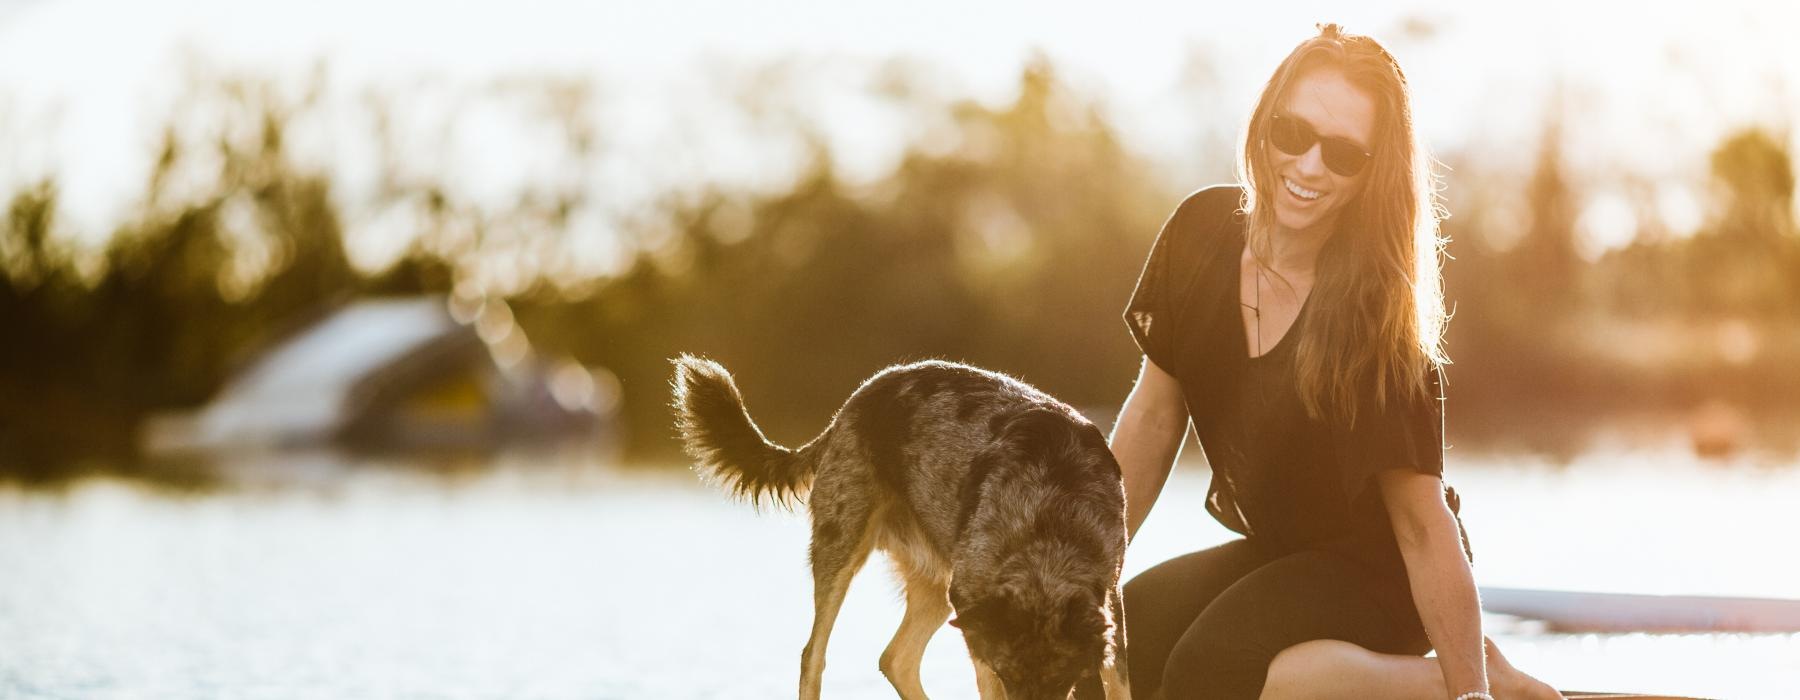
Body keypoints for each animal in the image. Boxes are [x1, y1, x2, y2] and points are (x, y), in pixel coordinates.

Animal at [669, 358, 1130, 694]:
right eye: (1009, 675)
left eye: (1061, 680)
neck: (1048, 517)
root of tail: (847, 409)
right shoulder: (978, 620)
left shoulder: (1109, 608)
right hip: (843, 553)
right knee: (813, 657)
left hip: (937, 586)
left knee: (896, 660)